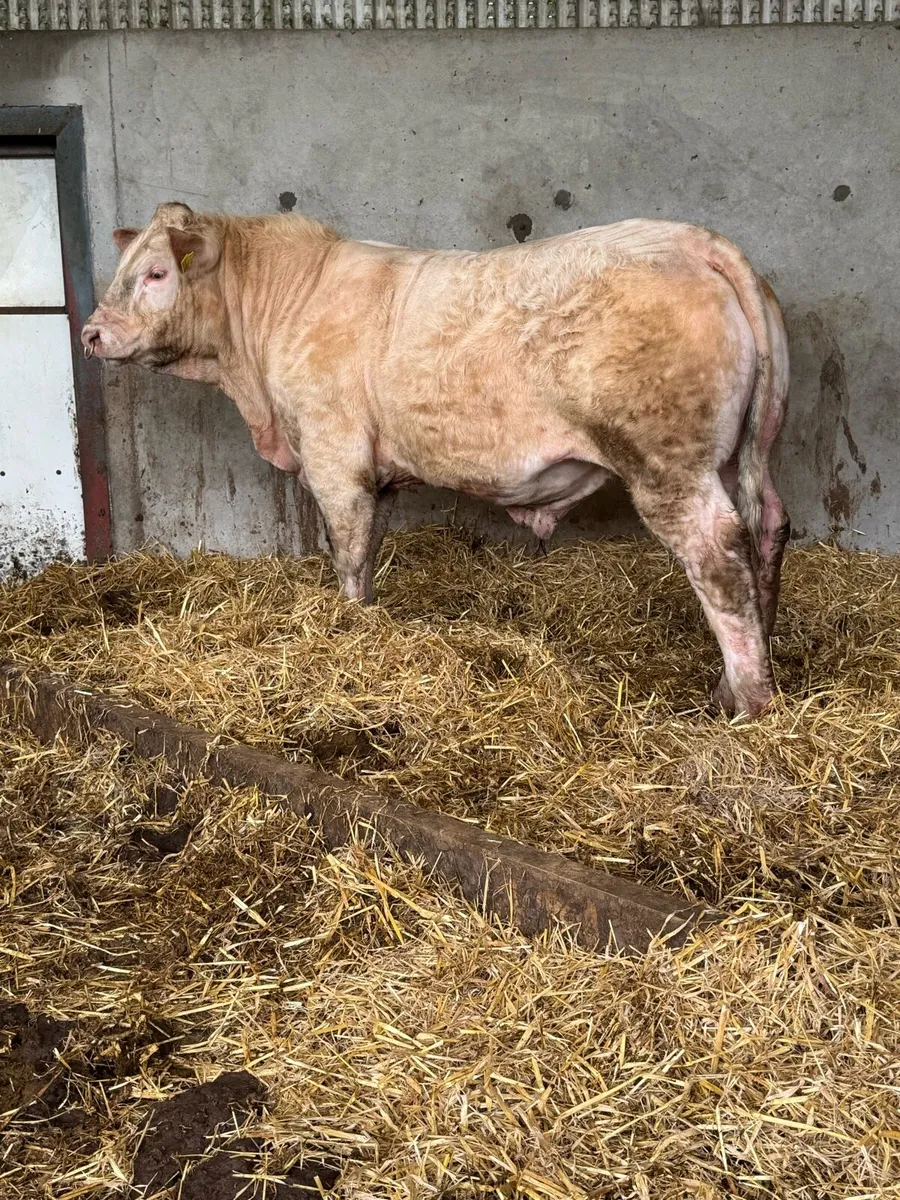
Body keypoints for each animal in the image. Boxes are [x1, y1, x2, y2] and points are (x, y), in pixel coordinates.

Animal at [83, 203, 790, 718]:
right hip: (744, 451)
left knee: (717, 552)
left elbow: (348, 550)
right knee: (768, 526)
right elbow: (370, 543)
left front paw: (350, 626)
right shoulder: (375, 470)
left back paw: (745, 703)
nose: (90, 333)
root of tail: (692, 239)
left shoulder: (333, 453)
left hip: (666, 462)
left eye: (156, 273)